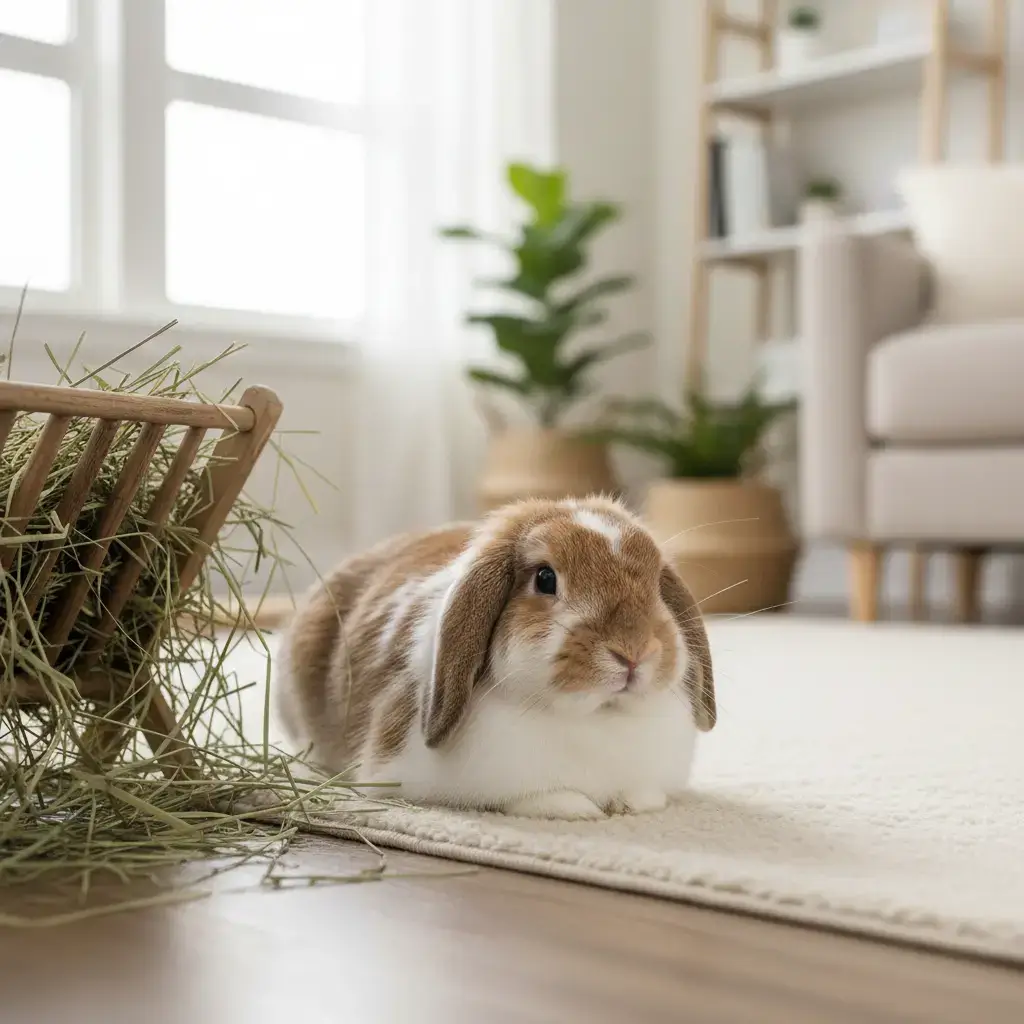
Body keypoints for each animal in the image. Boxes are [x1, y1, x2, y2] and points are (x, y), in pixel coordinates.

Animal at [275, 496, 715, 820]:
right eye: (545, 578)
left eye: (656, 583)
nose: (633, 651)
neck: (595, 719)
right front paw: (574, 808)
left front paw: (635, 803)